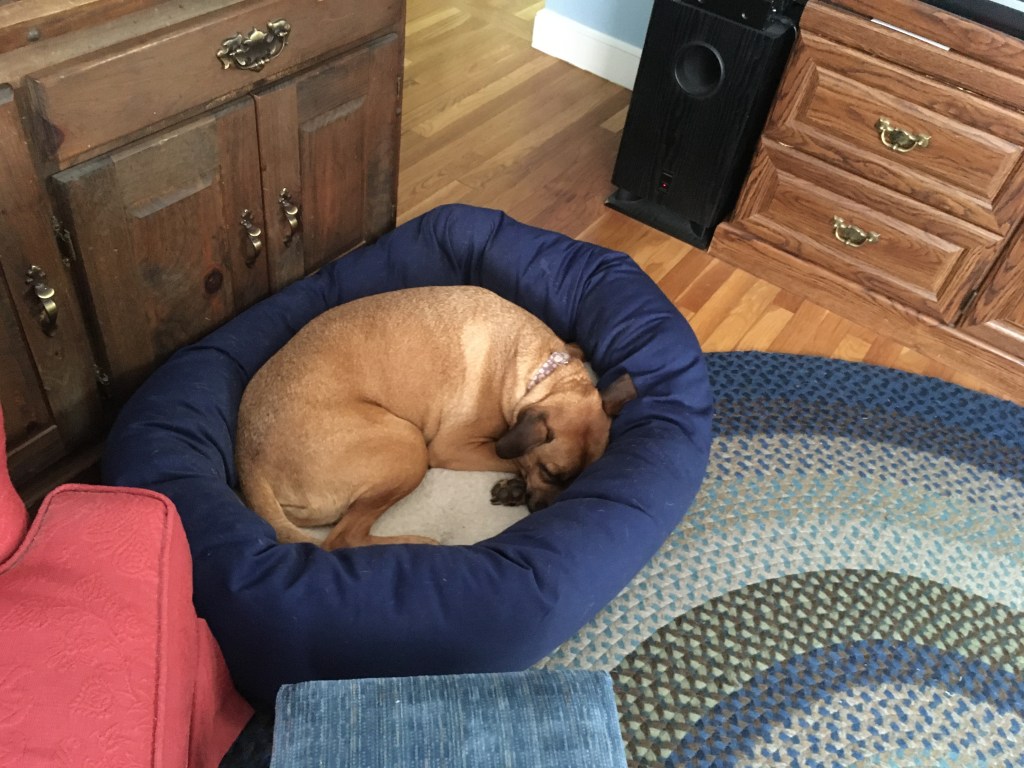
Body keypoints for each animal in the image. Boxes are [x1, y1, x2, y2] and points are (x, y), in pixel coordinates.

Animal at [235, 285, 636, 549]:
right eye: (552, 473)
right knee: (342, 539)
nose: (543, 513)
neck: (540, 374)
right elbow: (510, 458)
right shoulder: (453, 447)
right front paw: (516, 482)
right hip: (410, 448)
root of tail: (249, 465)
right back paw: (418, 543)